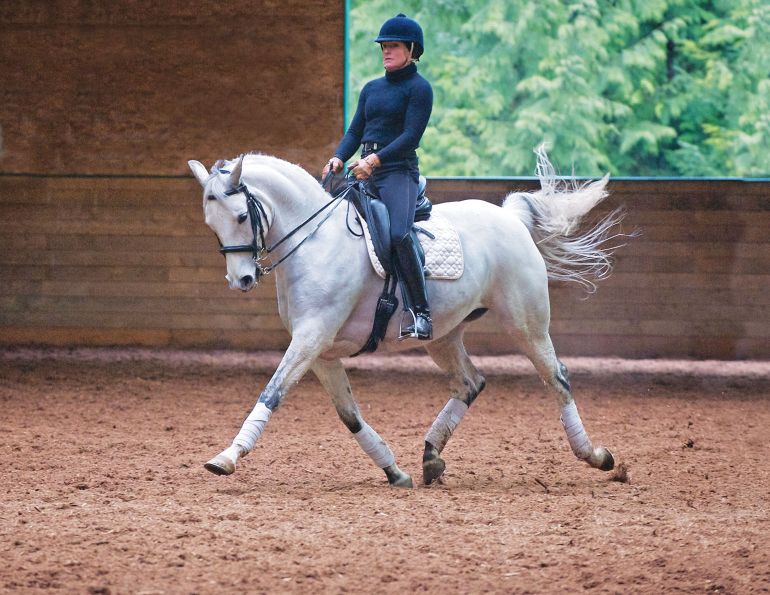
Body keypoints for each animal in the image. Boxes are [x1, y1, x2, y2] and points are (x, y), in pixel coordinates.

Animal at [188, 148, 625, 488]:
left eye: (241, 217)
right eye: (210, 224)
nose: (241, 280)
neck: (315, 240)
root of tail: (509, 218)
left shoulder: (311, 338)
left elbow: (271, 393)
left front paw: (227, 457)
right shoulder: (321, 353)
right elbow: (349, 416)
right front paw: (394, 472)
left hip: (527, 326)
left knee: (557, 378)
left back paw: (596, 456)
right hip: (444, 335)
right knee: (471, 383)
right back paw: (431, 456)